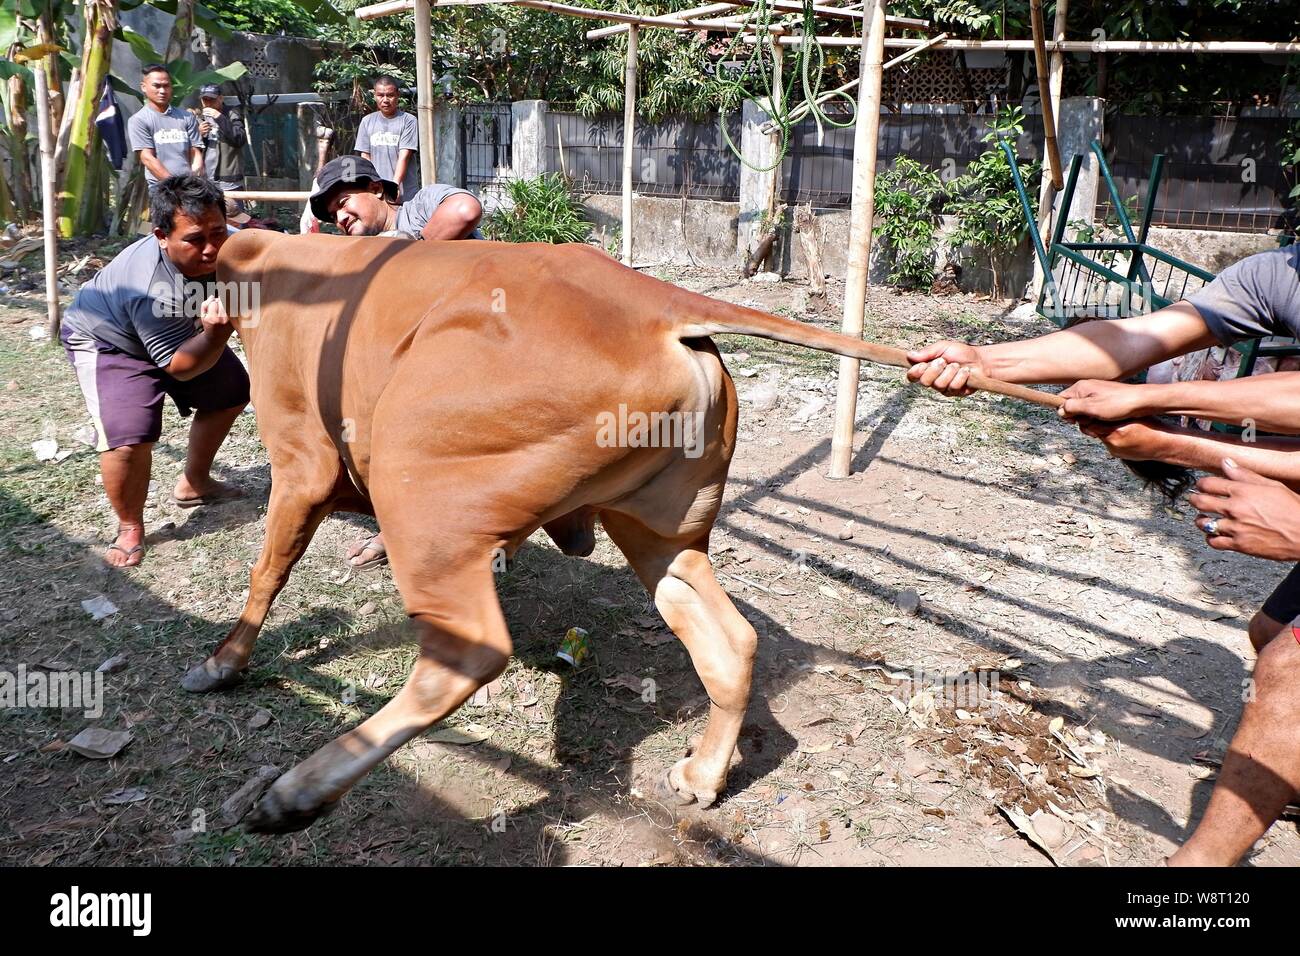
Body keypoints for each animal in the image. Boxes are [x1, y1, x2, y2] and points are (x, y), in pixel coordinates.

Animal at [185, 230, 1055, 832]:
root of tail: (660, 303)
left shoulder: (301, 463)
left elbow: (268, 569)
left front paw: (224, 661)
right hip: (659, 531)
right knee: (729, 642)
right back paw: (703, 774)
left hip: (420, 482)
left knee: (470, 654)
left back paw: (296, 791)